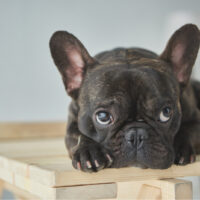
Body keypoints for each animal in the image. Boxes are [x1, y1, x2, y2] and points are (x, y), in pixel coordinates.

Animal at [48, 23, 200, 172]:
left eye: (166, 113)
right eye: (103, 117)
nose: (137, 135)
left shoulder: (195, 118)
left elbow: (187, 130)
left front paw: (181, 149)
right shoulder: (72, 124)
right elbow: (79, 134)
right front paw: (89, 152)